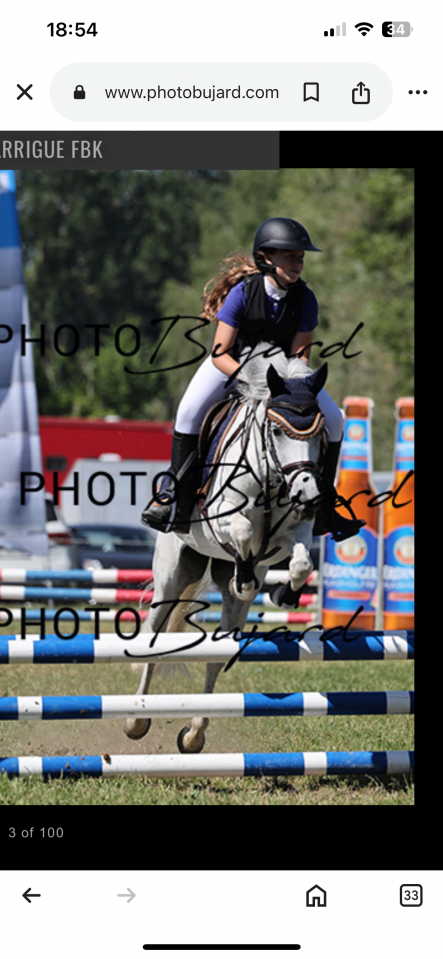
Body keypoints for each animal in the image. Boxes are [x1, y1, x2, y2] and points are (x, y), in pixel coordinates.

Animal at [124, 346, 328, 753]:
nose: (309, 497)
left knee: (217, 656)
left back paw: (194, 733)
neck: (270, 476)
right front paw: (245, 577)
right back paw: (137, 719)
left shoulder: (292, 533)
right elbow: (243, 529)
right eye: (277, 430)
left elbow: (300, 564)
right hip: (172, 576)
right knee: (155, 638)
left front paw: (283, 593)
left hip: (229, 608)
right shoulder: (221, 519)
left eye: (319, 434)